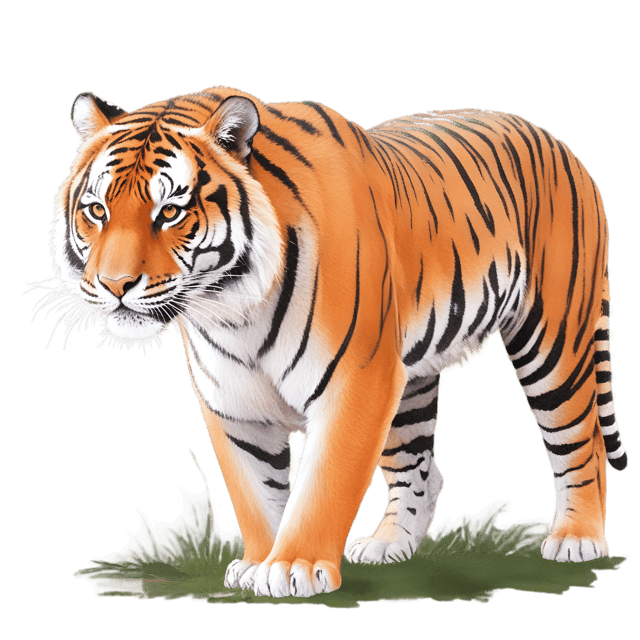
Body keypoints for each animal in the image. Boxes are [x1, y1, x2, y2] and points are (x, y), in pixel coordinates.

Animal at [28, 84, 627, 598]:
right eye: (97, 210)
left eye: (170, 212)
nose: (114, 285)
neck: (230, 310)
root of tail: (555, 139)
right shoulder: (233, 405)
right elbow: (255, 491)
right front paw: (258, 562)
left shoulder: (353, 383)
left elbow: (323, 485)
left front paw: (293, 567)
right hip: (408, 380)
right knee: (419, 469)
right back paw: (388, 545)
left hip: (553, 340)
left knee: (582, 442)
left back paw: (577, 540)